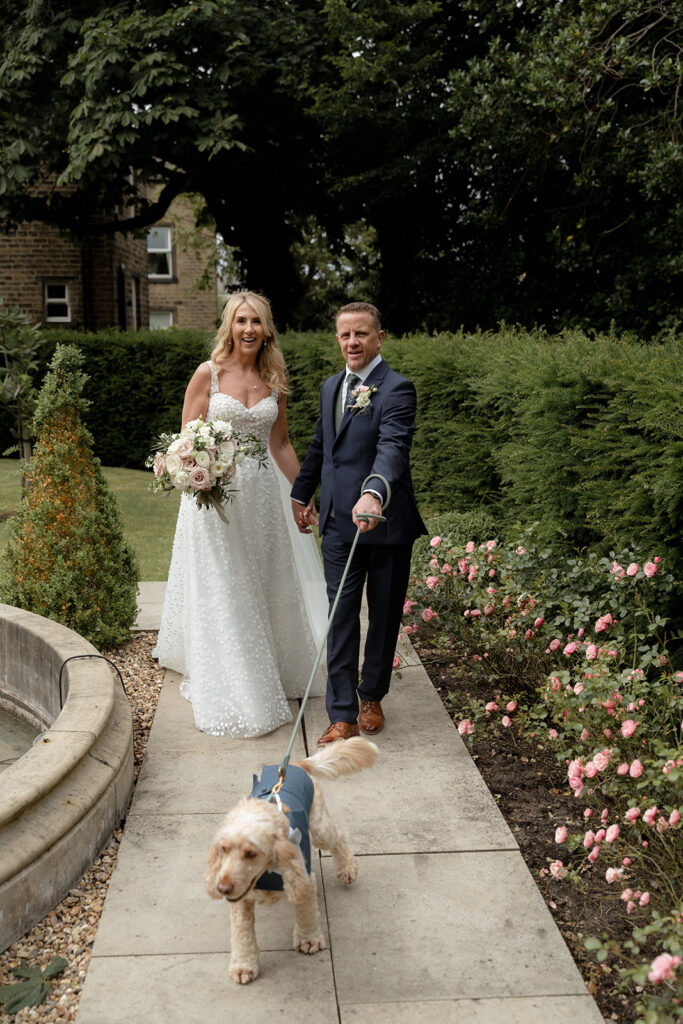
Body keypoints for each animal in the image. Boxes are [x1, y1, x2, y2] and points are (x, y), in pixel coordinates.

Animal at [206, 737, 378, 983]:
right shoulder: (241, 901)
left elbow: (306, 913)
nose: (222, 888)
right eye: (223, 849)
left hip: (320, 829)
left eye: (251, 853)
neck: (265, 875)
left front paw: (309, 940)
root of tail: (296, 764)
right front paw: (243, 966)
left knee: (338, 836)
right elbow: (242, 935)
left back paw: (347, 869)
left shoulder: (304, 881)